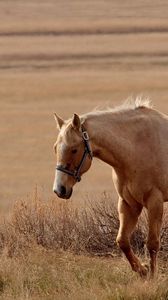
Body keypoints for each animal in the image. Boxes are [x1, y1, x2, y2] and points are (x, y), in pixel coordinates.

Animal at [52, 99, 168, 278]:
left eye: (74, 149)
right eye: (55, 148)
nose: (60, 189)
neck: (138, 147)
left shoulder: (155, 201)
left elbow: (152, 243)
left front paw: (152, 276)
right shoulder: (129, 203)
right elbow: (122, 241)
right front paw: (142, 270)